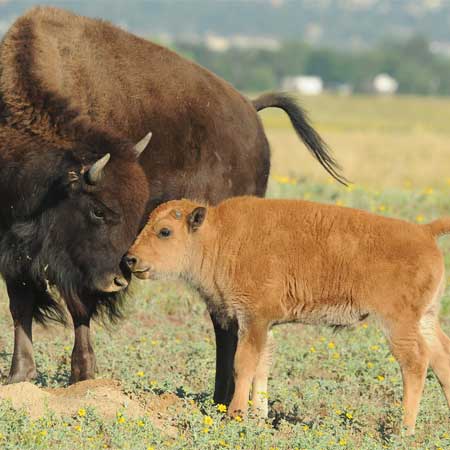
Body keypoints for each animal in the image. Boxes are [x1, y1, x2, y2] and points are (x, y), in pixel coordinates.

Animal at [0, 5, 344, 402]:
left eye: (131, 212)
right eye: (99, 211)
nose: (120, 278)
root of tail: (250, 110)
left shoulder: (75, 265)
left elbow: (78, 308)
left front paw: (82, 376)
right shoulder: (13, 249)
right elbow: (20, 305)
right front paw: (19, 377)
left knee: (225, 319)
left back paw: (222, 397)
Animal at [125, 196, 450, 432]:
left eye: (165, 231)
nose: (130, 259)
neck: (220, 237)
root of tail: (424, 232)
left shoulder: (253, 319)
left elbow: (243, 365)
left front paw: (235, 415)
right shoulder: (264, 324)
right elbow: (262, 367)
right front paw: (258, 416)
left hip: (398, 323)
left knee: (415, 363)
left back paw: (403, 430)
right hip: (425, 318)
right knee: (441, 359)